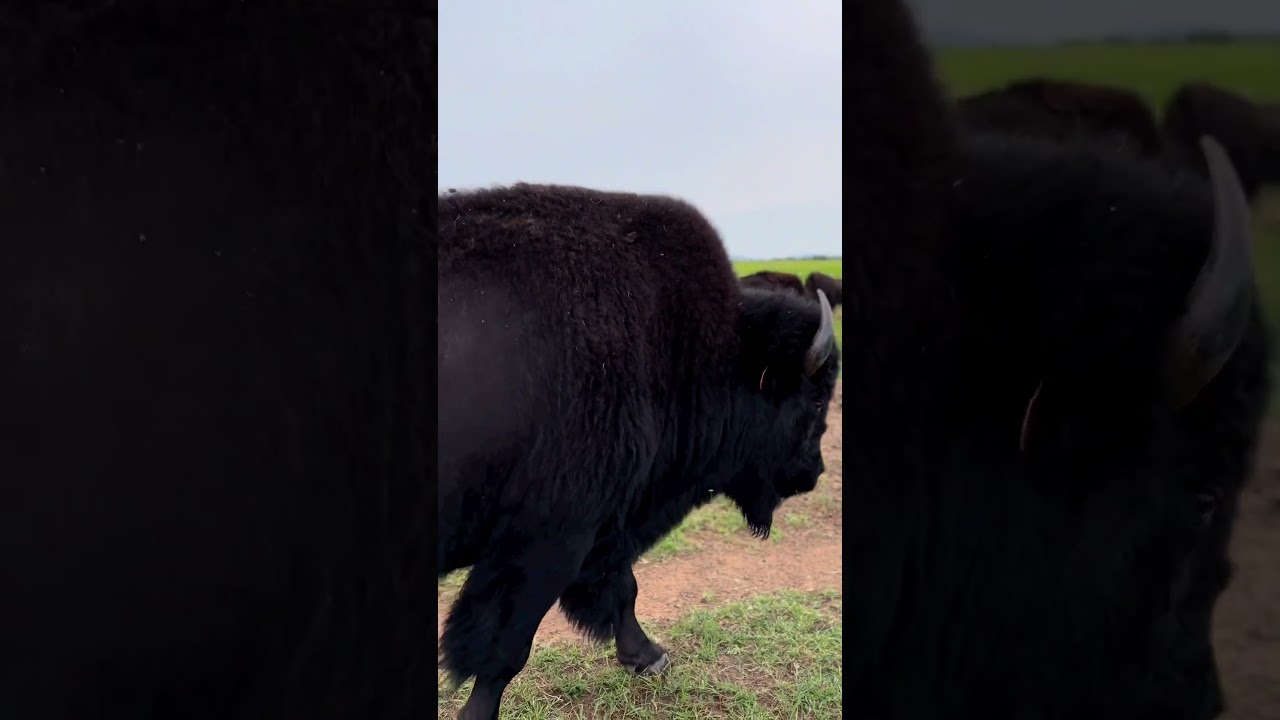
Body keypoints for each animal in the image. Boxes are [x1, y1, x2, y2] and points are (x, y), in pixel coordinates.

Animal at [437, 183, 840, 719]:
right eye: (813, 399)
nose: (813, 471)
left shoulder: (610, 519)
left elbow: (622, 587)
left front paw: (649, 656)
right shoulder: (550, 538)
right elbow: (506, 647)